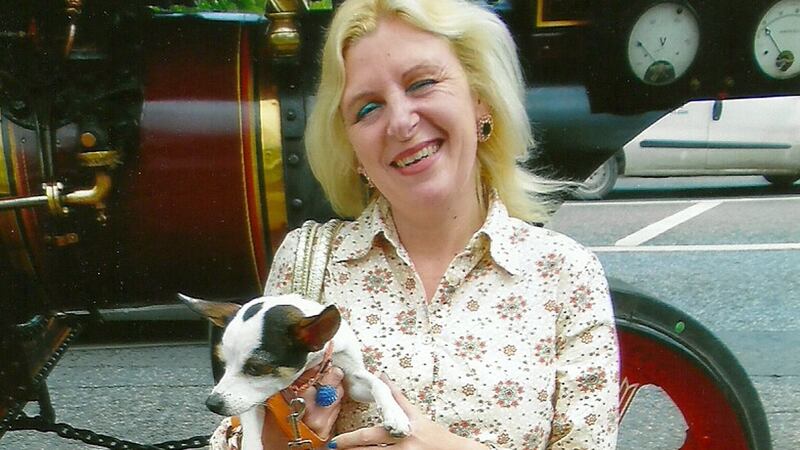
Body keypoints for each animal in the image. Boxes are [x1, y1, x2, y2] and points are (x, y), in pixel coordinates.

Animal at [178, 294, 410, 448]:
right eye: (222, 365)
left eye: (255, 368)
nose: (212, 404)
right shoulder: (252, 401)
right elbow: (251, 430)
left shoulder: (351, 382)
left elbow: (378, 383)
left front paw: (395, 414)